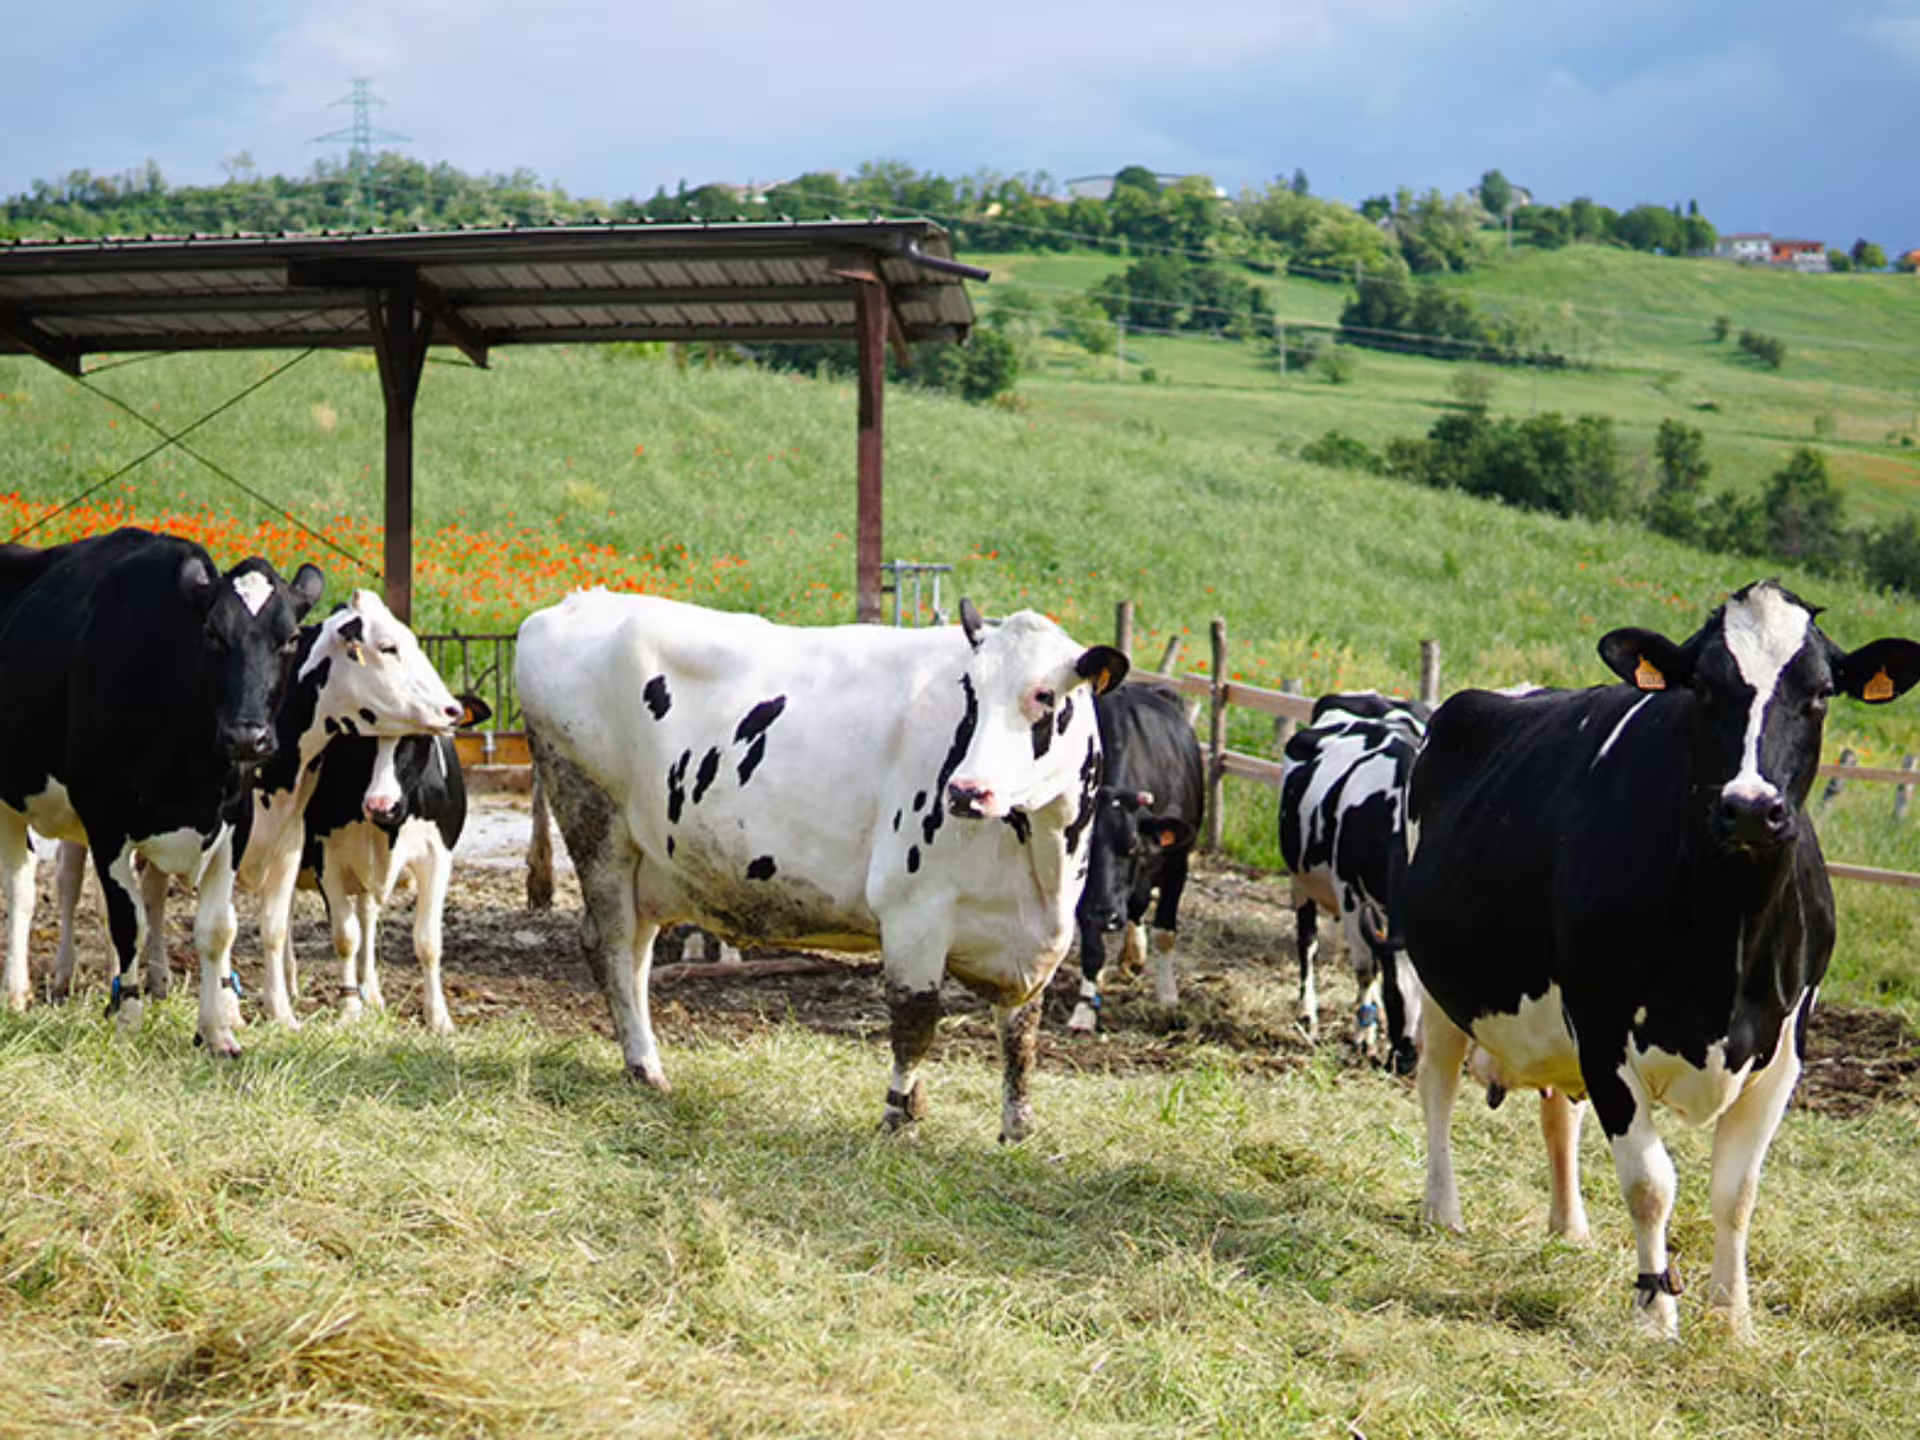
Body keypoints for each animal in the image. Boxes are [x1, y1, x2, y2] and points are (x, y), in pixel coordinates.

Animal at [0, 527, 324, 1052]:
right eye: (212, 634)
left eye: (291, 638)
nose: (247, 737)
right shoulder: (106, 817)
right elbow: (127, 920)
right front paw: (129, 1023)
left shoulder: (235, 820)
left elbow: (217, 928)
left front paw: (216, 1032)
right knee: (20, 889)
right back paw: (14, 994)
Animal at [516, 592, 1127, 1142]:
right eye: (970, 694)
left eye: (1043, 696)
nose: (965, 791)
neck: (1041, 862)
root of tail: (573, 604)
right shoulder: (914, 910)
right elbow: (915, 1023)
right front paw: (898, 1120)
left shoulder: (1038, 938)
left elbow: (1021, 1034)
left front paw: (1019, 1129)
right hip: (594, 819)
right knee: (616, 950)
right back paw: (645, 1066)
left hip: (649, 866)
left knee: (636, 953)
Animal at [1067, 682, 1202, 1033]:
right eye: (1083, 850)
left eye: (1132, 847)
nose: (1104, 914)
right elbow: (1092, 948)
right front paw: (1085, 1009)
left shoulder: (1178, 862)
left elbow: (1165, 931)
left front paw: (1168, 996)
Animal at [1278, 692, 1429, 1072]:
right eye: (1394, 994)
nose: (1406, 1061)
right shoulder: (1349, 893)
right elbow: (1365, 970)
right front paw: (1364, 1038)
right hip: (1300, 880)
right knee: (1307, 943)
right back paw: (1308, 1016)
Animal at [1397, 580, 1920, 1339]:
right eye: (1700, 685)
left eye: (1822, 692)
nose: (1750, 808)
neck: (1727, 945)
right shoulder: (1603, 1027)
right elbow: (1650, 1183)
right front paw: (1654, 1312)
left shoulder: (1785, 1047)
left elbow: (1737, 1189)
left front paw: (1732, 1318)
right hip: (1439, 982)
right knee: (1436, 1083)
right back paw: (1444, 1211)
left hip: (1553, 1023)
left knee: (1558, 1110)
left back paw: (1569, 1226)